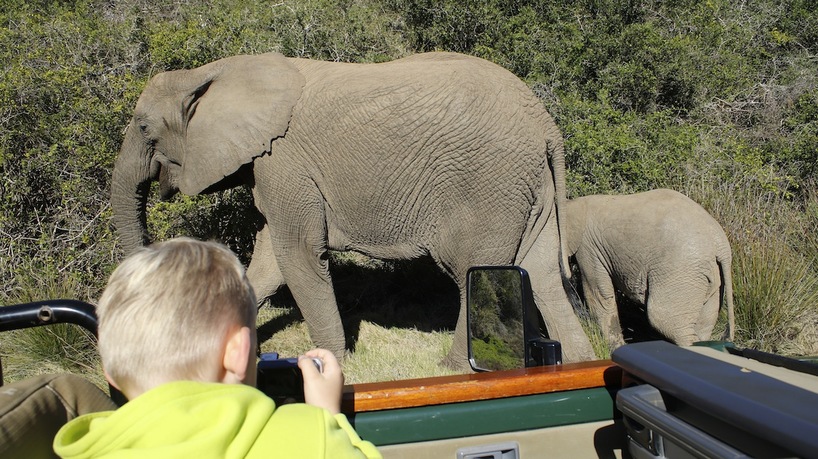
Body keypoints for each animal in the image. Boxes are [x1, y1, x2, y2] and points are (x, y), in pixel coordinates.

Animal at [110, 51, 592, 366]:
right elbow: (268, 262)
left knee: (479, 273)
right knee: (543, 274)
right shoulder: (272, 169)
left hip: (488, 184)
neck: (212, 72)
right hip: (529, 190)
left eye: (144, 128)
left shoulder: (284, 163)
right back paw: (575, 363)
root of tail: (546, 123)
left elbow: (298, 254)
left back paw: (453, 370)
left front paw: (328, 365)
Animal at [560, 189, 732, 350]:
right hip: (710, 276)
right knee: (703, 325)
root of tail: (720, 243)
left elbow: (599, 294)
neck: (572, 204)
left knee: (665, 319)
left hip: (682, 269)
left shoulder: (589, 248)